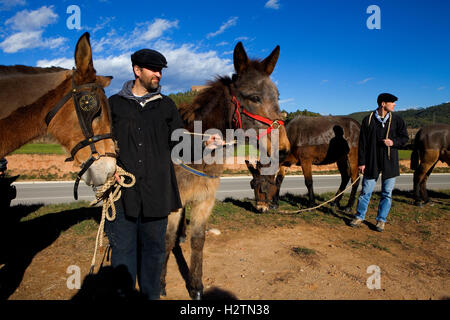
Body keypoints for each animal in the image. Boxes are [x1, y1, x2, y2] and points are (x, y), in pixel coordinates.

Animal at [162, 41, 292, 298]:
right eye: (254, 97)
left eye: (278, 97)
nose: (283, 149)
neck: (194, 149)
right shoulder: (172, 203)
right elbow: (166, 241)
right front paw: (158, 282)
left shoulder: (204, 201)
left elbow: (198, 241)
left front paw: (196, 285)